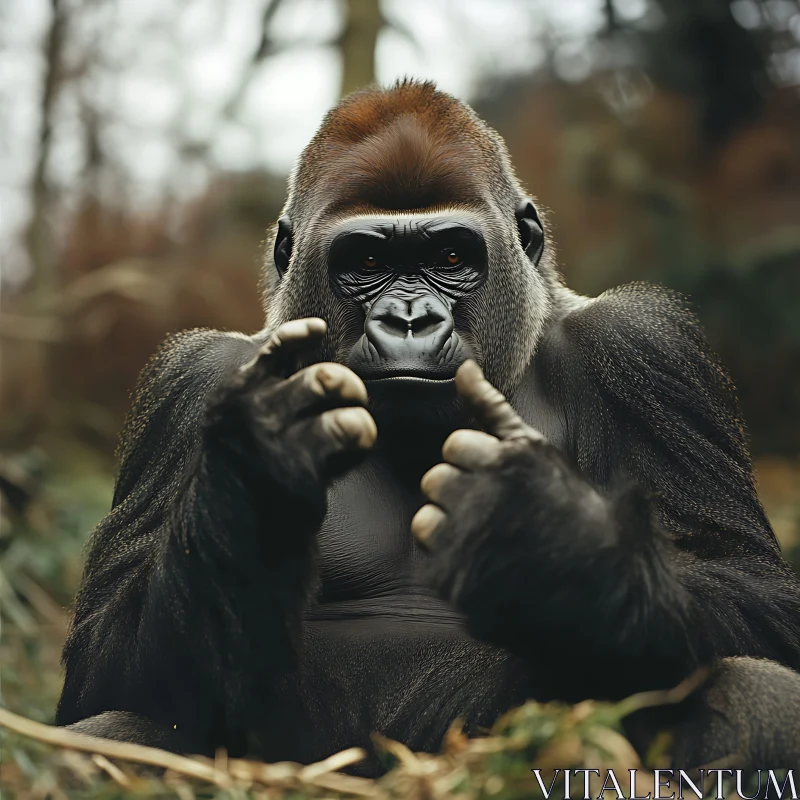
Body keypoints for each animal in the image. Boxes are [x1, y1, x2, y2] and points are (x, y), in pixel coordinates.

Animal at [59, 79, 800, 768]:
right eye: (367, 263)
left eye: (449, 258)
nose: (409, 320)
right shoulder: (190, 381)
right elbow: (110, 669)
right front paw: (254, 468)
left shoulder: (647, 347)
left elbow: (758, 594)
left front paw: (547, 539)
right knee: (116, 728)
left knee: (751, 688)